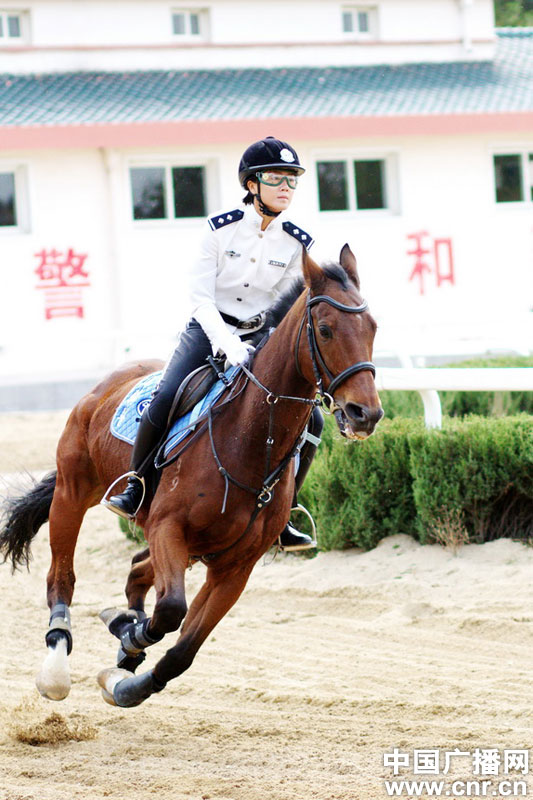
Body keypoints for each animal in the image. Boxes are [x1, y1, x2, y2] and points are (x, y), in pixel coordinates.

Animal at [0, 245, 383, 708]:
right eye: (325, 330)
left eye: (373, 327)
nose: (365, 414)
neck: (247, 441)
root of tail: (104, 385)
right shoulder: (168, 528)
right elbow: (170, 611)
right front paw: (128, 636)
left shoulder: (236, 566)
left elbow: (183, 648)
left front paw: (126, 678)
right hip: (73, 493)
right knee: (62, 577)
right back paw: (58, 663)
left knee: (136, 570)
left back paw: (125, 642)